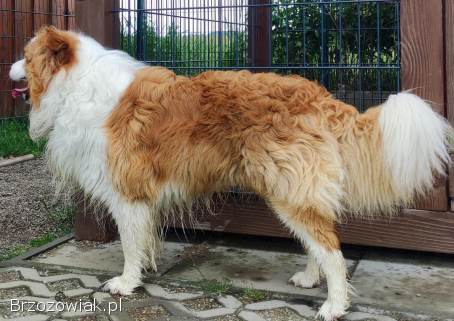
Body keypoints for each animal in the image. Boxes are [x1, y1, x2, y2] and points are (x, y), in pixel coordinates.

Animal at [8, 26, 452, 318]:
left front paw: (127, 283)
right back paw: (311, 280)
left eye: (26, 56)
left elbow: (130, 244)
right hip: (291, 193)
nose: (9, 70)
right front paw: (147, 269)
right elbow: (146, 239)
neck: (77, 85)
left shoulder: (127, 192)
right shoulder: (142, 198)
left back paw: (334, 304)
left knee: (332, 249)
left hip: (288, 193)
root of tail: (319, 96)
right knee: (318, 243)